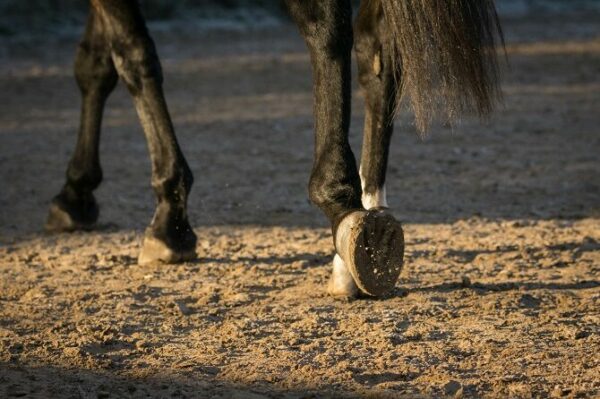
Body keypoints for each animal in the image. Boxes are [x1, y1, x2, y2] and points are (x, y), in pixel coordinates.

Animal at [42, 0, 504, 298]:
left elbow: (130, 54)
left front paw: (169, 220)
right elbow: (94, 63)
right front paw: (76, 193)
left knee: (328, 27)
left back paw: (344, 209)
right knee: (378, 51)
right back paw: (364, 239)